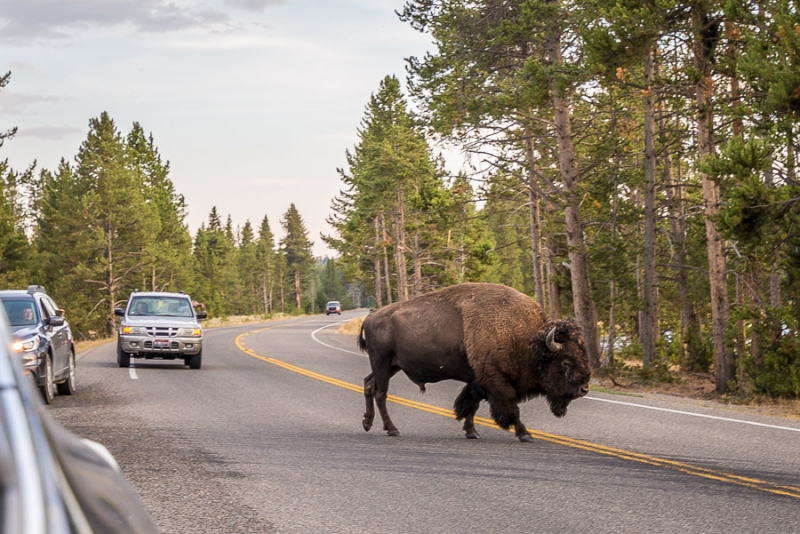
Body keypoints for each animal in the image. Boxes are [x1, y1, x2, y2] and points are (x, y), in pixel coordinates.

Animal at [360, 284, 592, 444]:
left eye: (583, 354)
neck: (526, 340)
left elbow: (470, 404)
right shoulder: (497, 382)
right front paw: (525, 434)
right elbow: (511, 409)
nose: (584, 389)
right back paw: (392, 429)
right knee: (380, 393)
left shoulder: (477, 380)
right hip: (382, 363)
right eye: (565, 361)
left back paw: (367, 423)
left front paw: (472, 432)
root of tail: (369, 318)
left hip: (391, 366)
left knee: (369, 384)